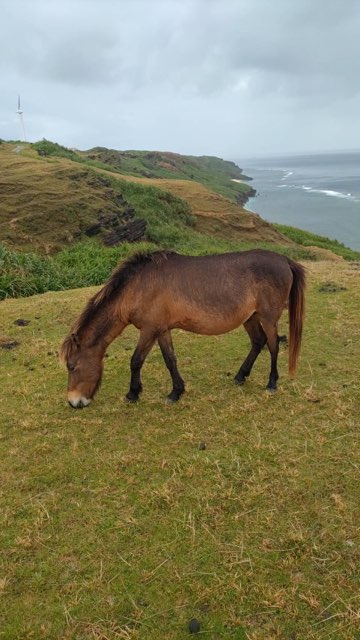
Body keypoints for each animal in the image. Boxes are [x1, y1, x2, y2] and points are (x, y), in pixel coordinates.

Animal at [60, 248, 306, 408]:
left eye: (72, 366)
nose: (74, 402)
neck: (138, 287)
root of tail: (285, 261)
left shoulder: (149, 330)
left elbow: (136, 361)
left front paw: (133, 394)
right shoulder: (161, 330)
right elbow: (170, 360)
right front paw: (176, 392)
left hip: (268, 317)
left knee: (273, 345)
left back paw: (272, 383)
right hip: (251, 318)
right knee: (258, 342)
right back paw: (240, 376)